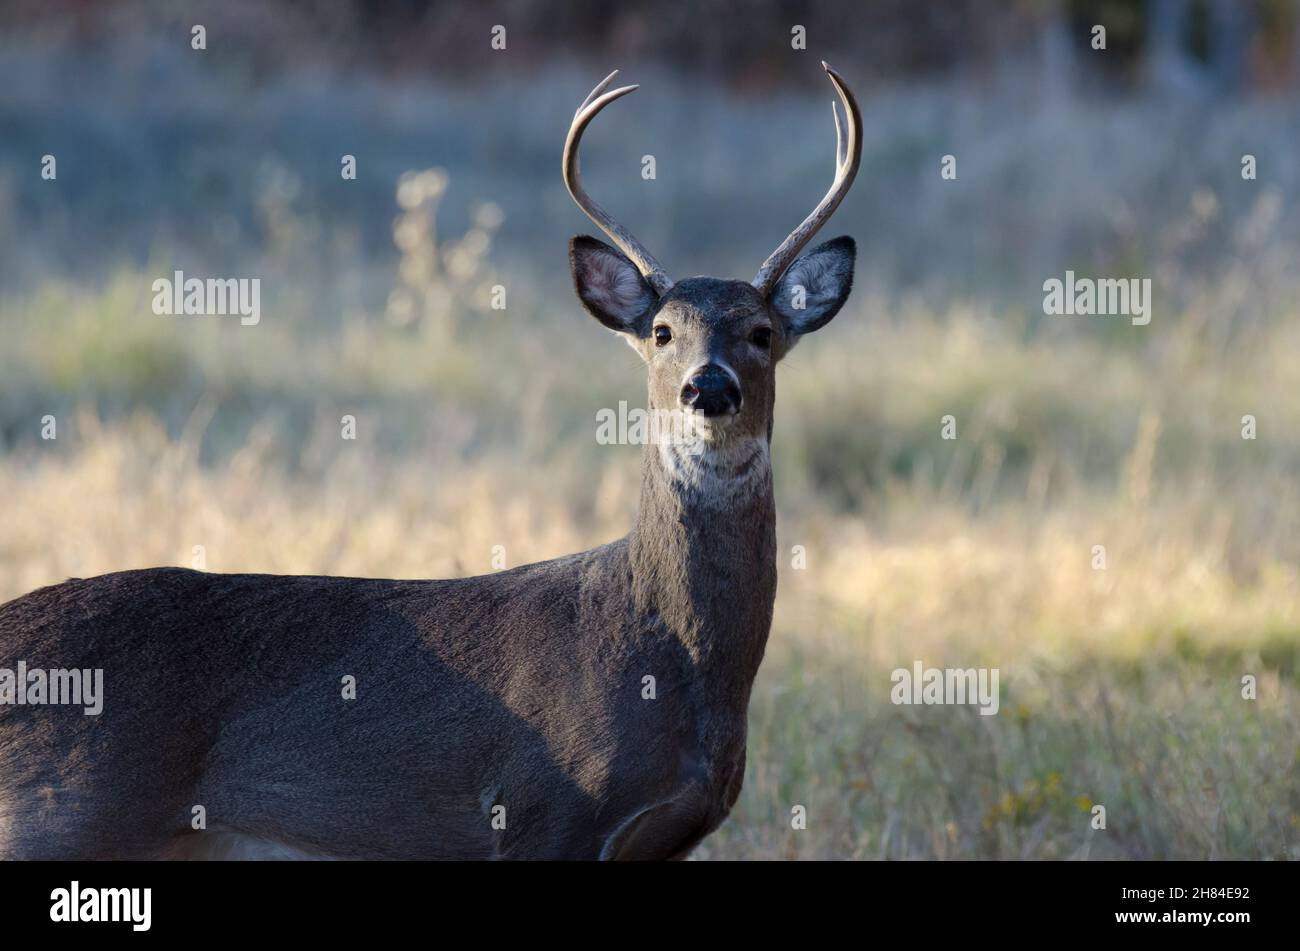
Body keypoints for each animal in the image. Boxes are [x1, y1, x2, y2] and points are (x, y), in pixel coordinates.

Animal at [0, 63, 861, 861]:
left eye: (760, 331)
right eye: (661, 331)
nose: (706, 386)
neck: (669, 657)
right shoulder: (540, 811)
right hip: (59, 815)